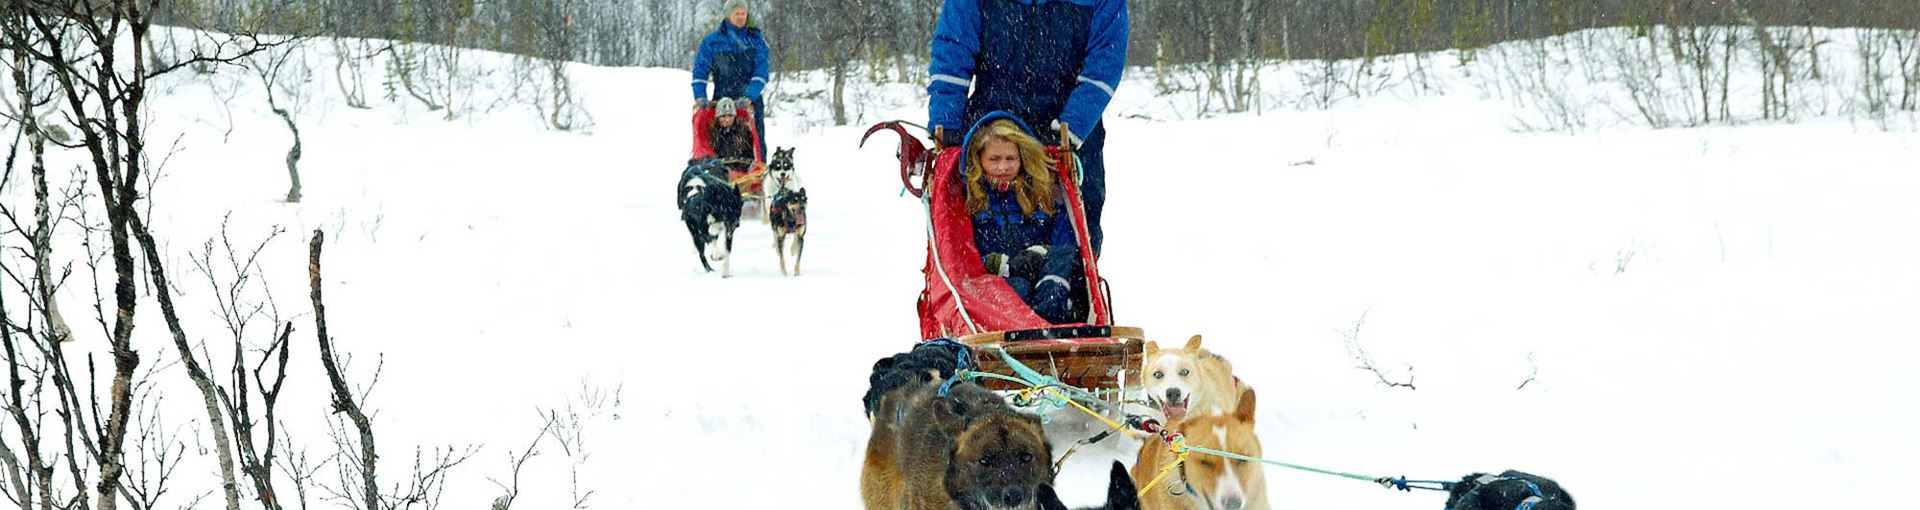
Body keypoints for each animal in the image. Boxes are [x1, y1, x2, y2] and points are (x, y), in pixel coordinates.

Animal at [766, 148, 807, 276]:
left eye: (804, 200)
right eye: (795, 200)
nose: (802, 207)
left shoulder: (801, 236)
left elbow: (798, 256)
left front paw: (797, 273)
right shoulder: (780, 235)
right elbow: (782, 258)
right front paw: (784, 273)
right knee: (776, 240)